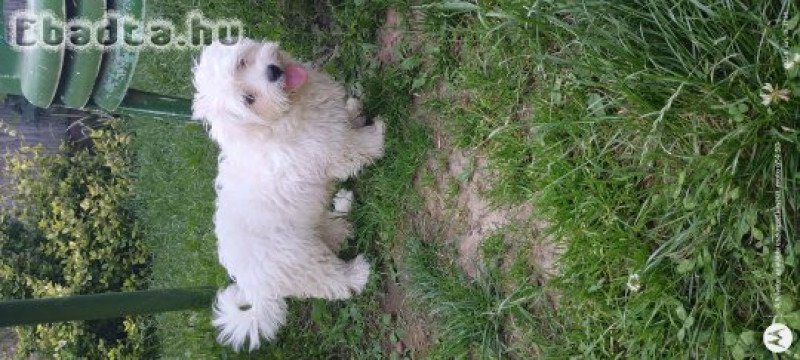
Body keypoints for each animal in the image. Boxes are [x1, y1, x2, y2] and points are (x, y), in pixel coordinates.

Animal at [191, 39, 384, 352]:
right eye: (249, 99)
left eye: (242, 62)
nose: (272, 71)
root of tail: (254, 288)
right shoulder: (334, 152)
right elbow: (357, 147)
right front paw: (377, 133)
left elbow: (345, 121)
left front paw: (354, 111)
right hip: (300, 264)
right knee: (332, 283)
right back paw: (357, 274)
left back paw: (341, 219)